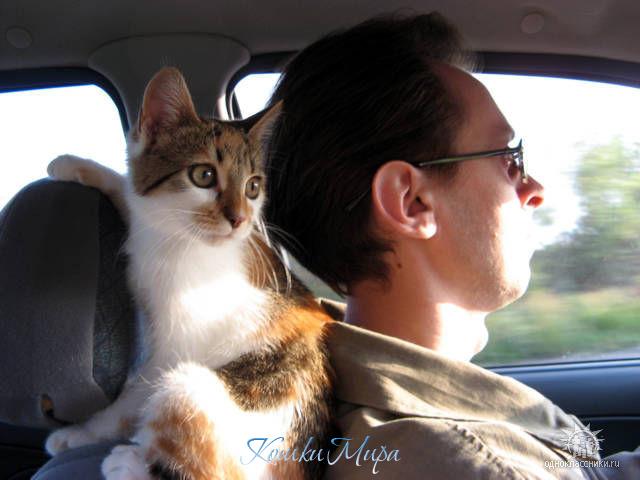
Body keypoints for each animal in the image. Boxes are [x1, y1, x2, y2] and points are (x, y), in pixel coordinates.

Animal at [45, 67, 334, 480]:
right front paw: (71, 165)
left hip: (189, 387)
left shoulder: (172, 350)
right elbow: (128, 191)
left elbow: (129, 402)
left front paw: (77, 435)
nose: (240, 219)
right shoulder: (144, 221)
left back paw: (126, 463)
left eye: (252, 187)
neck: (174, 239)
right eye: (203, 175)